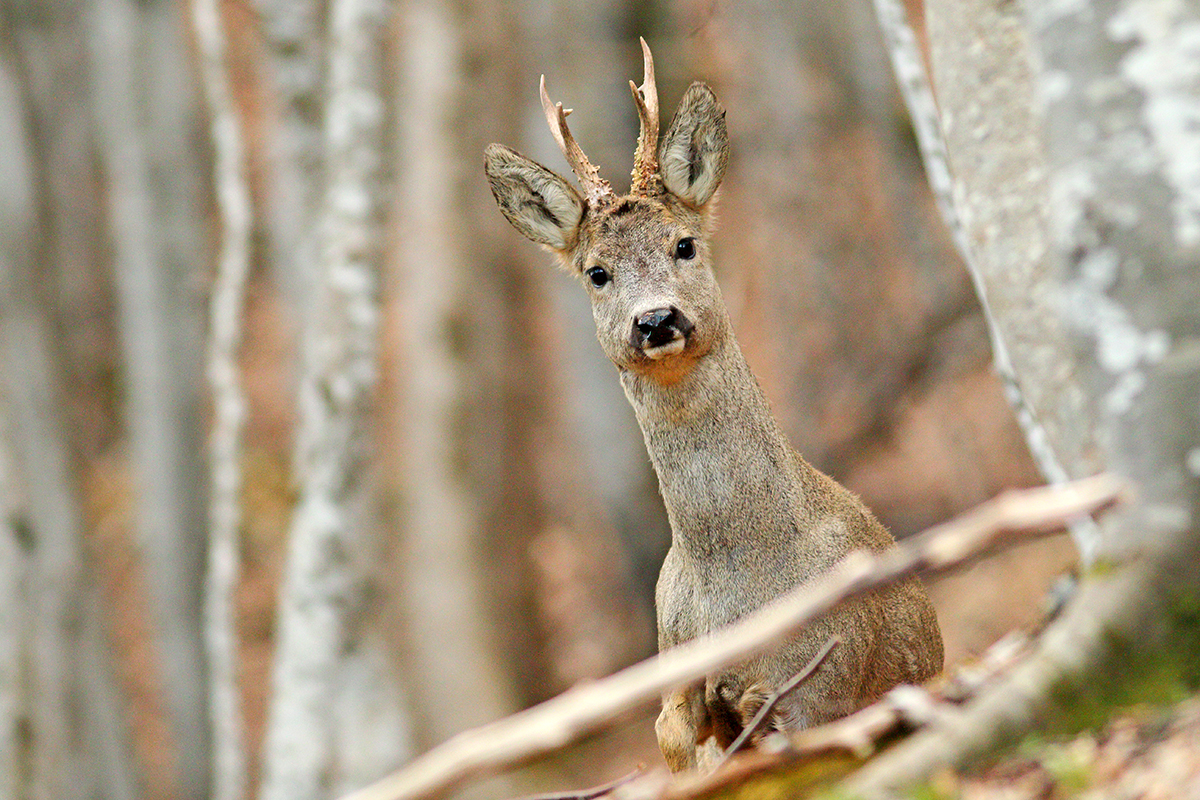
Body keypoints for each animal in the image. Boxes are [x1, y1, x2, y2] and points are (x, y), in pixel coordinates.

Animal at [482, 40, 940, 772]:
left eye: (685, 244)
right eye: (597, 272)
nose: (656, 320)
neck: (737, 585)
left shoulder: (823, 684)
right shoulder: (675, 693)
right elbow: (676, 736)